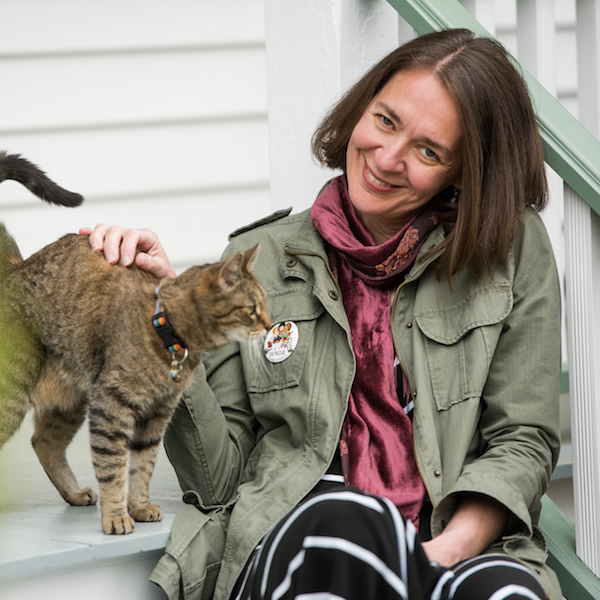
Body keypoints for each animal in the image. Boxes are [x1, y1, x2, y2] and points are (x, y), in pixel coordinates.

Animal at [0, 150, 270, 536]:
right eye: (251, 309)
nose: (270, 324)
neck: (166, 333)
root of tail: (14, 269)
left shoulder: (156, 416)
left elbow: (143, 466)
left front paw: (139, 506)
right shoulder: (111, 407)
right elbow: (112, 468)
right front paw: (116, 516)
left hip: (69, 401)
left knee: (44, 443)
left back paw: (74, 492)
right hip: (14, 395)